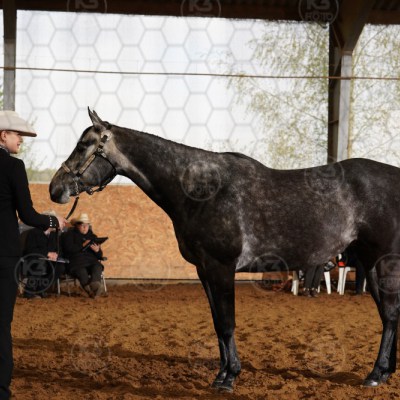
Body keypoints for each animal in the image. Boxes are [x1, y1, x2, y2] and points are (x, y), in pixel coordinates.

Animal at [50, 108, 400, 392]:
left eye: (83, 145)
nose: (55, 189)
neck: (202, 191)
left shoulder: (221, 267)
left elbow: (228, 322)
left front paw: (229, 378)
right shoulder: (204, 270)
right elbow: (218, 324)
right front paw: (221, 374)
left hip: (384, 263)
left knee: (390, 314)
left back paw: (375, 374)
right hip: (370, 262)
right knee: (388, 316)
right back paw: (384, 373)